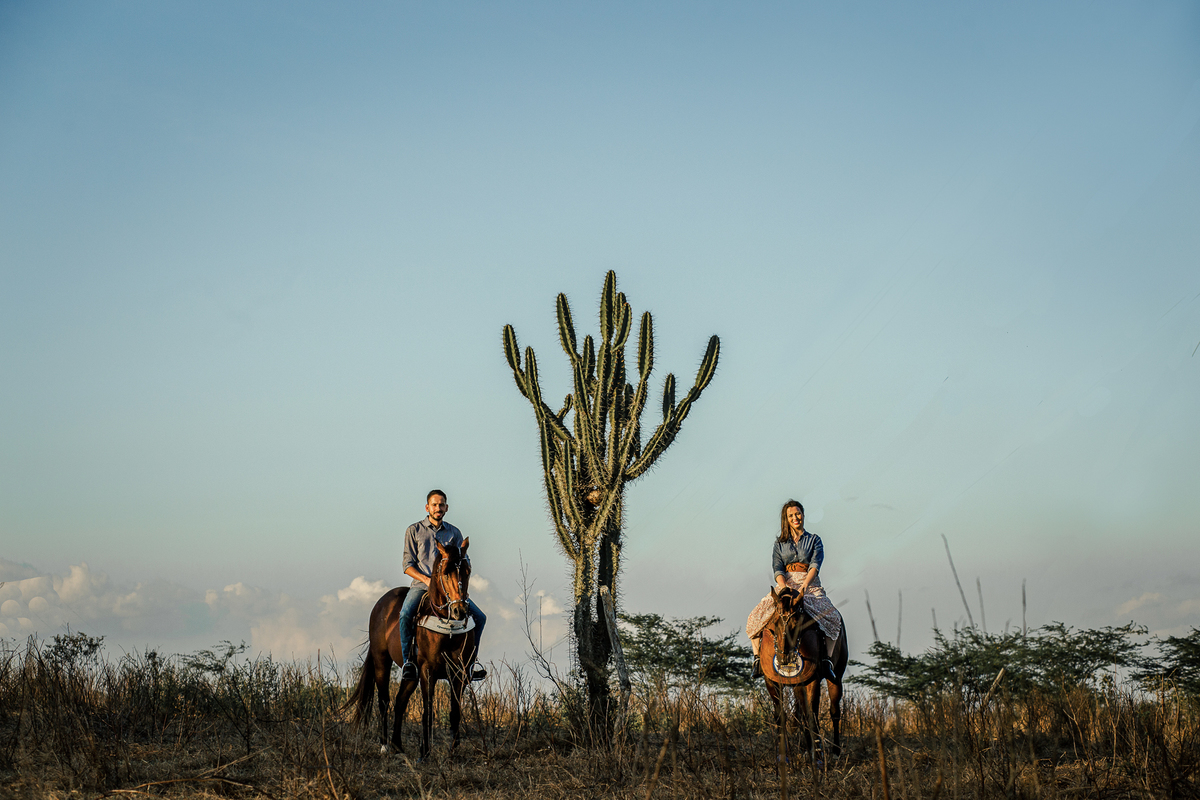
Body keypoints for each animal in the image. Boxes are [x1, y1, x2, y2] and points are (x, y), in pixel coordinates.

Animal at [345, 539, 478, 759]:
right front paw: (424, 752)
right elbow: (428, 711)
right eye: (445, 573)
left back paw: (398, 746)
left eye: (467, 571)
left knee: (400, 701)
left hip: (412, 674)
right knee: (384, 700)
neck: (448, 629)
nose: (459, 610)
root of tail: (381, 603)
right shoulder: (428, 670)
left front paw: (453, 752)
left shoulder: (458, 673)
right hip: (382, 661)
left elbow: (455, 712)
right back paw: (385, 746)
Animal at [758, 586, 848, 759]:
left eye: (797, 625)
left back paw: (835, 752)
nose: (784, 659)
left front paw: (817, 754)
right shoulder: (772, 682)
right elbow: (781, 715)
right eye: (775, 622)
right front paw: (783, 754)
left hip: (836, 678)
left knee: (834, 711)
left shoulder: (812, 680)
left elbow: (811, 715)